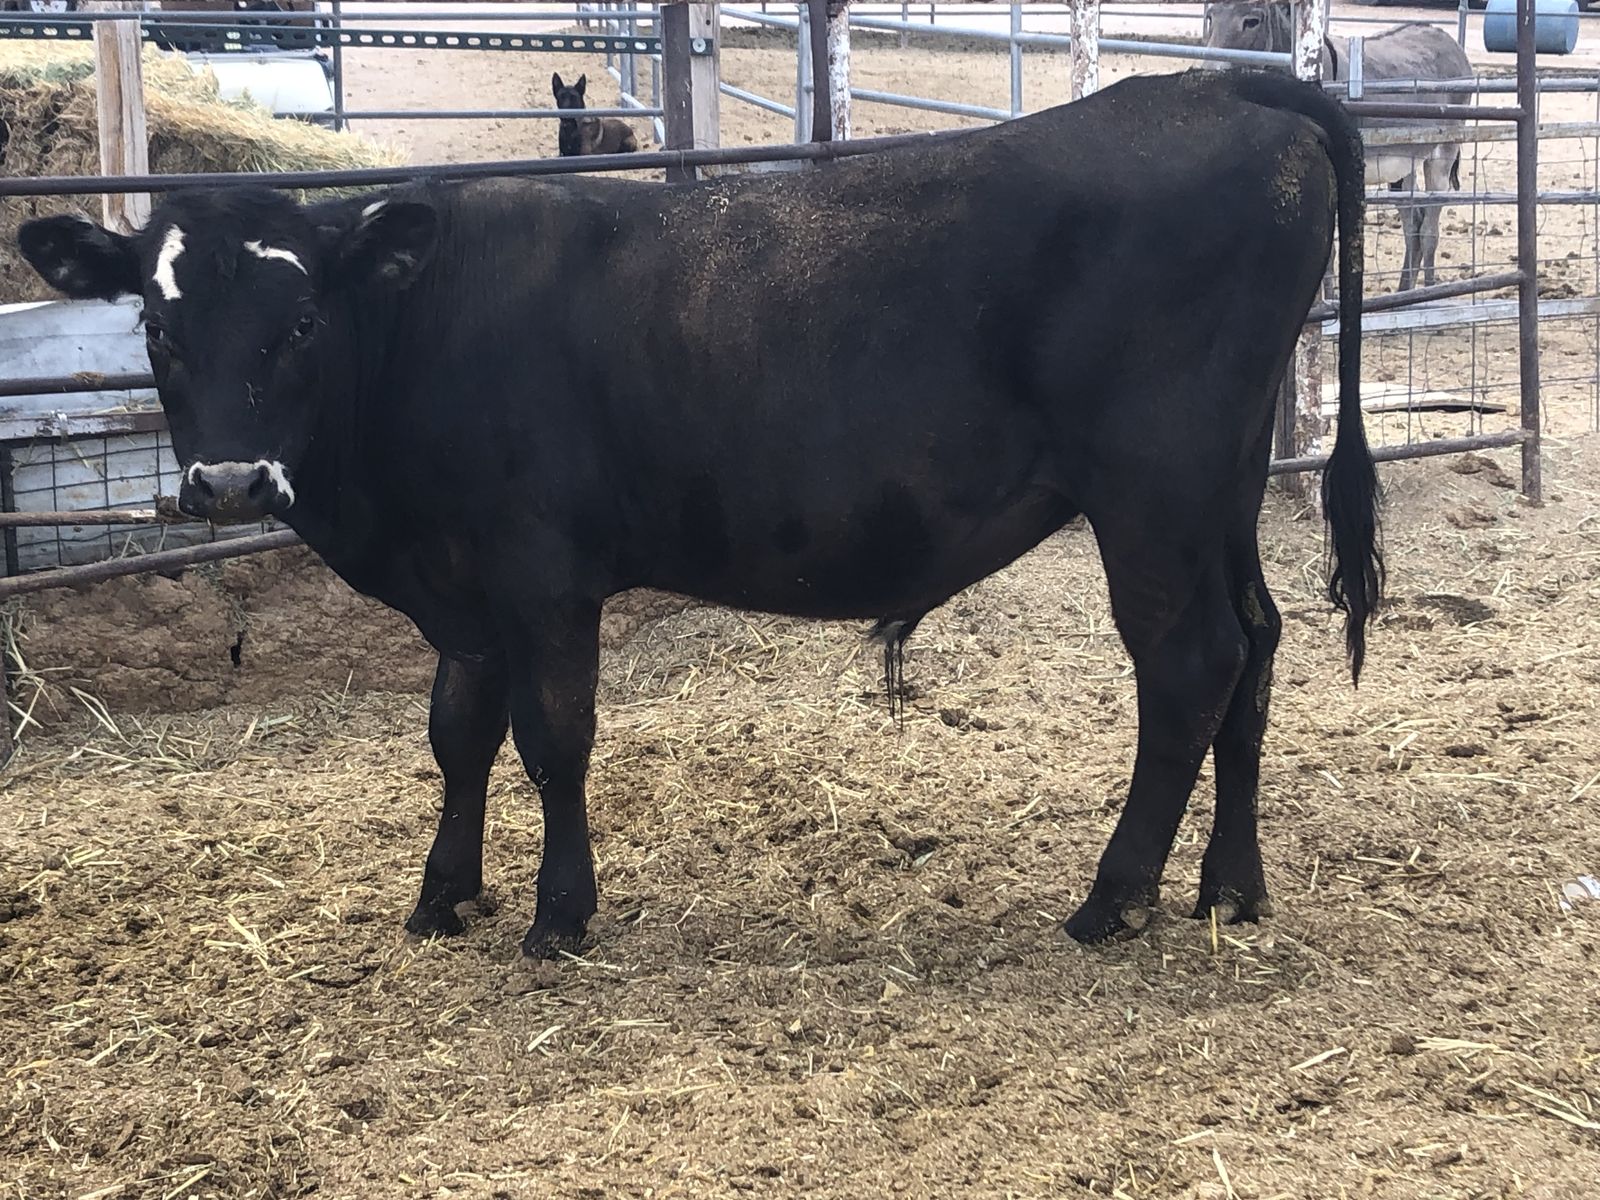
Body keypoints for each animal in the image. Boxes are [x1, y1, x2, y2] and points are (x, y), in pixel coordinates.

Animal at [17, 67, 1381, 960]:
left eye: (301, 322)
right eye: (157, 329)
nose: (228, 485)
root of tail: (1224, 88)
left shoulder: (541, 571)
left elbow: (551, 736)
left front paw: (559, 914)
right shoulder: (462, 588)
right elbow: (457, 734)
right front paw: (443, 897)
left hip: (1151, 491)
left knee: (1188, 663)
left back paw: (1114, 898)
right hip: (1221, 487)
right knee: (1255, 648)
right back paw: (1228, 888)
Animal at [1202, 1, 1472, 291]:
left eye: (1252, 21)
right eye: (1210, 17)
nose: (1207, 78)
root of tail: (1446, 38)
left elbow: (1328, 250)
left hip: (1442, 154)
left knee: (1430, 229)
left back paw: (1430, 292)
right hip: (1403, 165)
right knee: (1415, 227)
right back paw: (1402, 294)